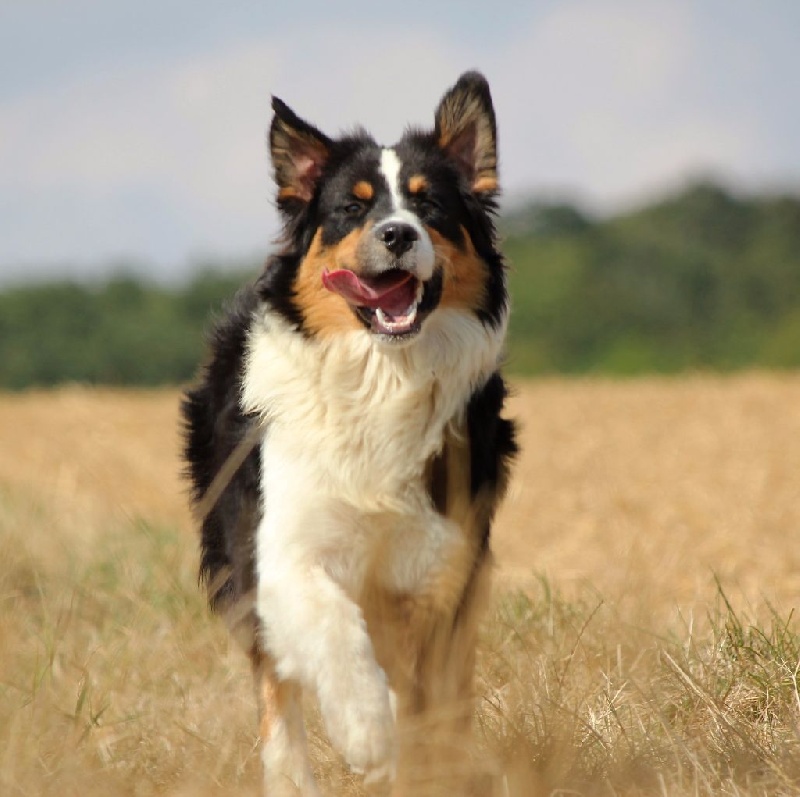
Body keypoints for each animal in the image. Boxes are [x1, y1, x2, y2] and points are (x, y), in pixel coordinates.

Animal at [183, 71, 520, 792]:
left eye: (429, 204)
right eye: (351, 208)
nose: (396, 235)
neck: (381, 377)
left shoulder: (445, 562)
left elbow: (434, 700)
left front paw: (418, 760)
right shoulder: (282, 549)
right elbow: (334, 632)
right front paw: (367, 730)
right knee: (277, 691)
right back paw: (294, 775)